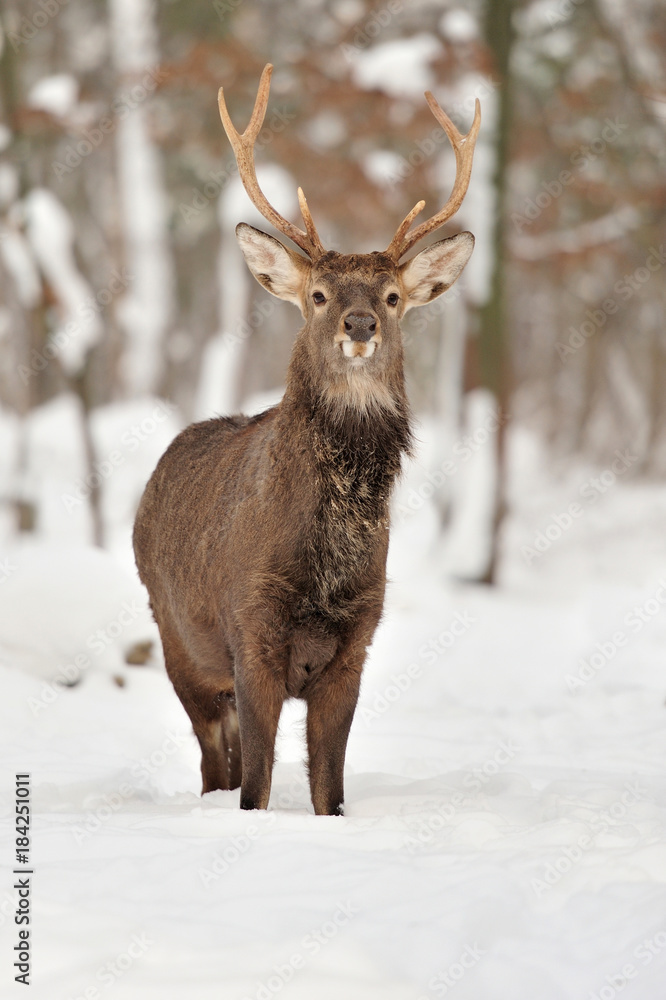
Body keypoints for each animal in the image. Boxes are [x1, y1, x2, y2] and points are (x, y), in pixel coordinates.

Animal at [134, 62, 478, 816]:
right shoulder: (249, 627)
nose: (360, 324)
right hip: (177, 639)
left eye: (392, 298)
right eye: (318, 295)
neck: (322, 564)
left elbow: (331, 789)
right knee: (215, 763)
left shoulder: (357, 641)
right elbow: (255, 788)